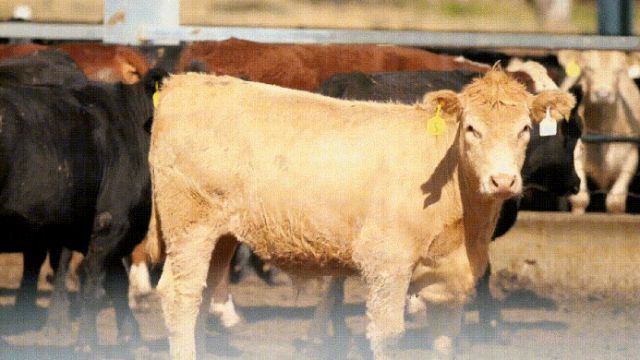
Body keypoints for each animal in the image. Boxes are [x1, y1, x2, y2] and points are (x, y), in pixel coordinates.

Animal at [146, 69, 576, 358]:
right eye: (471, 128)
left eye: (525, 129)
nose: (502, 180)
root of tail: (183, 83)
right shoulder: (386, 265)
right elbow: (387, 335)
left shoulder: (451, 279)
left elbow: (443, 342)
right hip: (190, 226)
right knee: (180, 297)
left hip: (221, 236)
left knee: (201, 297)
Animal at [556, 50, 640, 214]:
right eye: (588, 69)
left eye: (619, 71)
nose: (602, 94)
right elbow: (580, 198)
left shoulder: (631, 155)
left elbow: (615, 202)